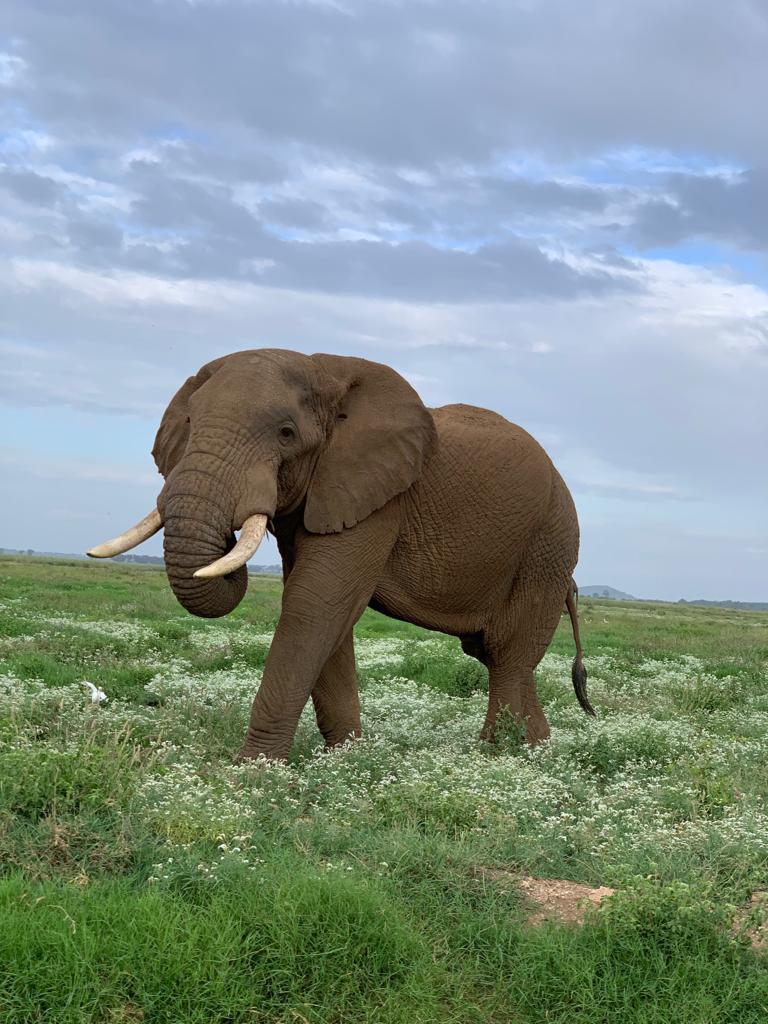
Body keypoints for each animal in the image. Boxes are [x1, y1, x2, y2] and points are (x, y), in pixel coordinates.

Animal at [89, 349, 593, 760]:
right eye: (190, 425)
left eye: (287, 433)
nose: (232, 533)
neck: (324, 372)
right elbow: (326, 612)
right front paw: (344, 759)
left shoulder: (381, 496)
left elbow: (315, 603)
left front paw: (254, 773)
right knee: (494, 654)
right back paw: (536, 750)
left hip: (547, 544)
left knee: (507, 653)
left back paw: (498, 755)